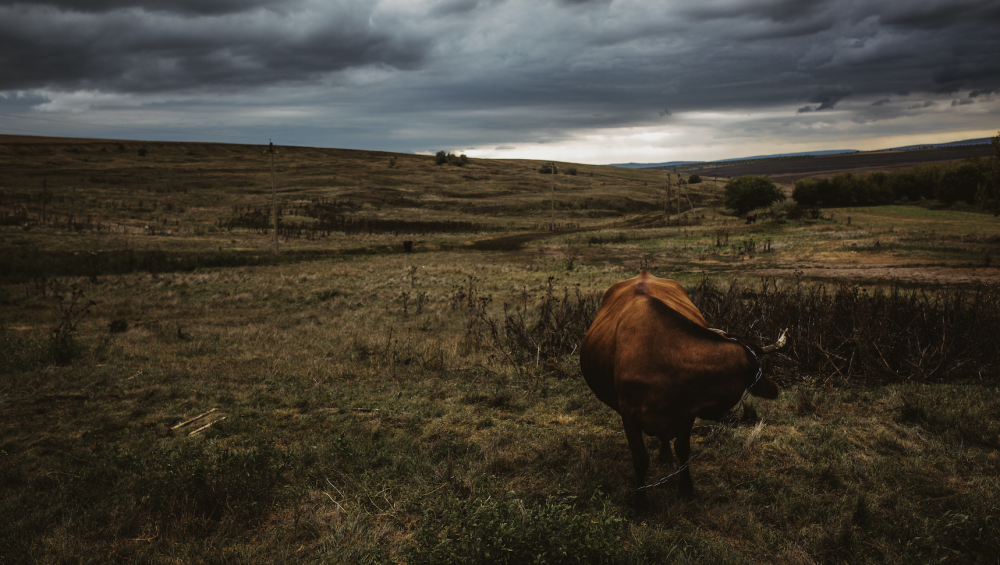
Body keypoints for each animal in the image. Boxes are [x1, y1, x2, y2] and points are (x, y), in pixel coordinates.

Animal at [584, 270, 784, 508]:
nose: (721, 415)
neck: (665, 359)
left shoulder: (687, 412)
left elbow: (683, 449)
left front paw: (686, 488)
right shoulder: (628, 413)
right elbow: (640, 458)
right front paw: (641, 501)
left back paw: (665, 456)